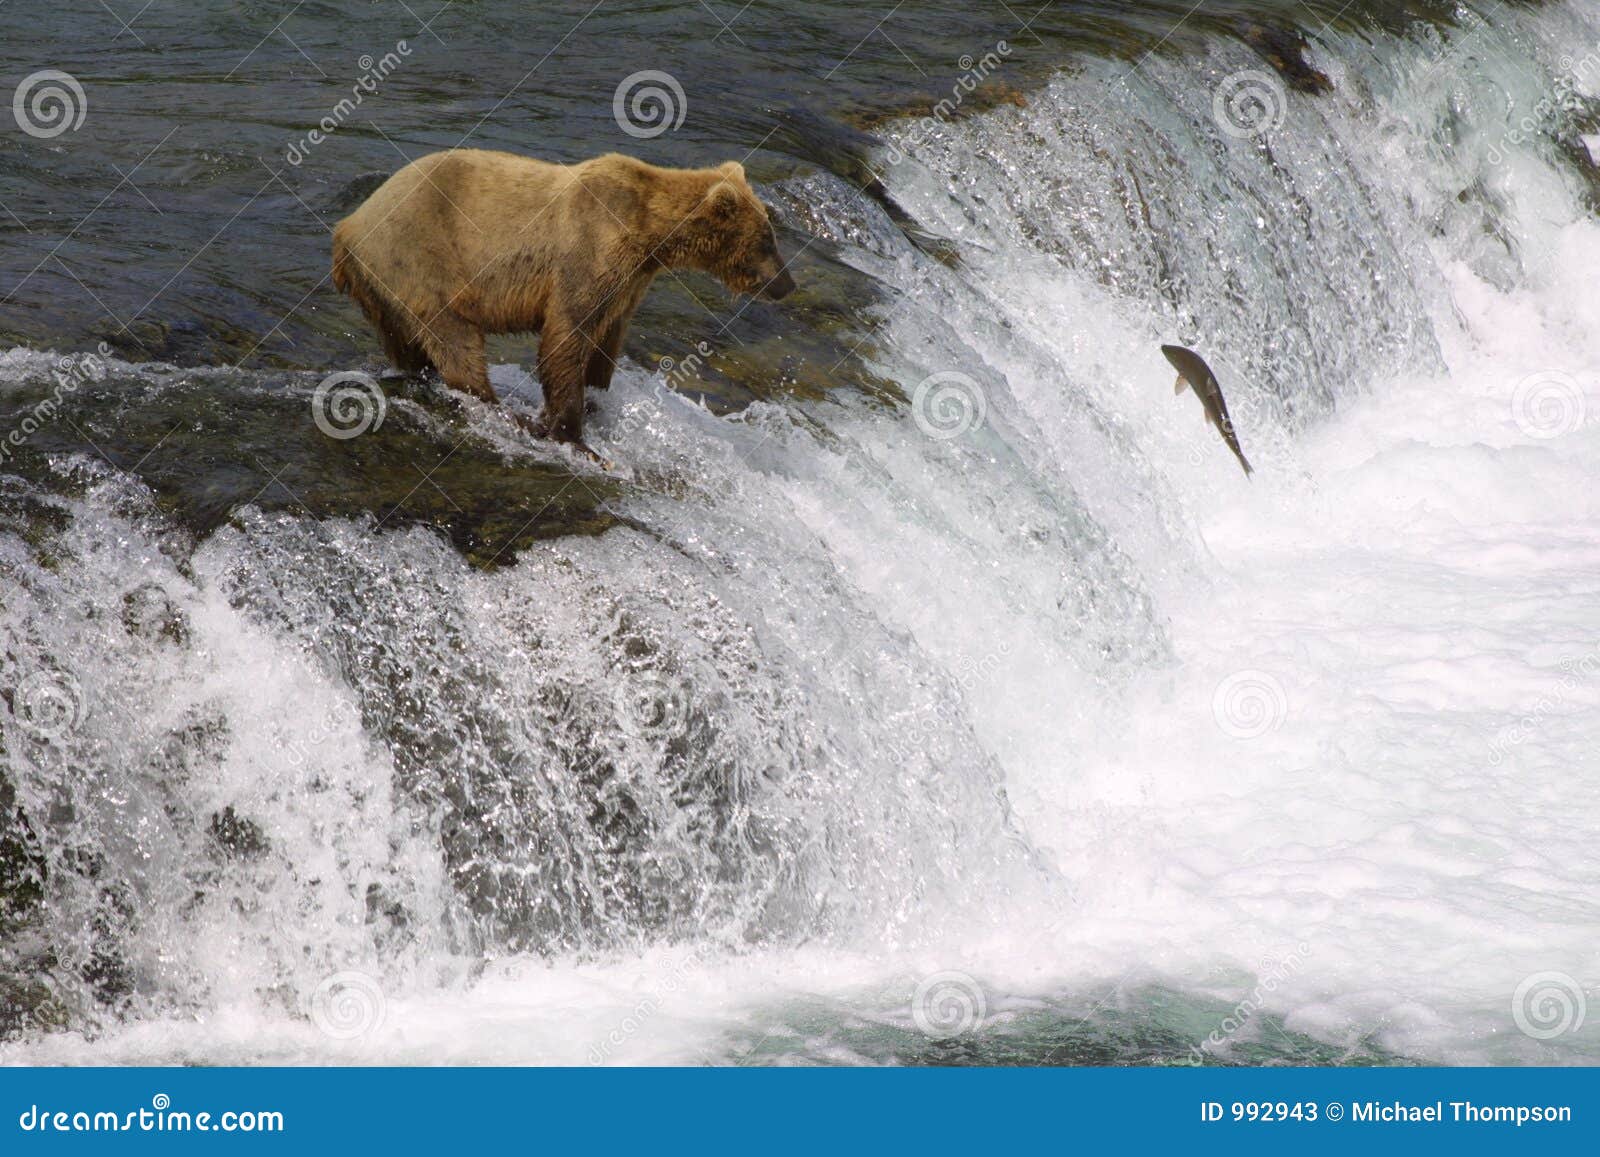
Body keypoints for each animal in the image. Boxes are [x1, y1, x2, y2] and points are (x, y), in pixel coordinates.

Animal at [332, 152, 800, 457]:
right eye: (767, 241)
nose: (786, 284)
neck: (649, 235)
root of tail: (346, 227)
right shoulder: (590, 250)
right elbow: (566, 335)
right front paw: (573, 433)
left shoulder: (629, 282)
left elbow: (606, 338)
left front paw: (597, 396)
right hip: (419, 258)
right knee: (455, 338)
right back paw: (498, 407)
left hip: (383, 289)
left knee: (408, 344)